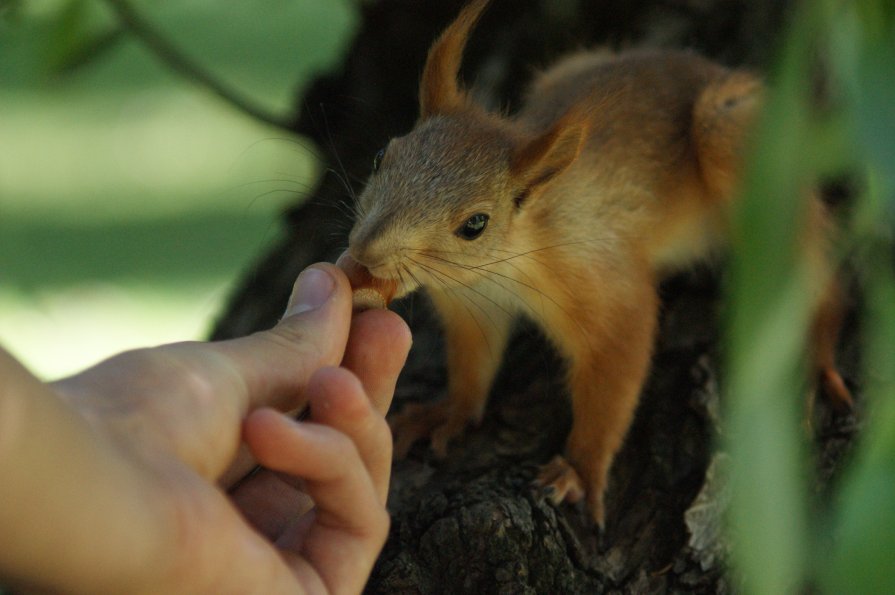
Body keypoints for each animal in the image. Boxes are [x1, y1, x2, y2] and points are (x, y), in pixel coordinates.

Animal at [334, 1, 848, 532]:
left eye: (475, 224)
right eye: (381, 156)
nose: (366, 251)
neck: (505, 266)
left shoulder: (603, 280)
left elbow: (615, 368)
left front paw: (579, 469)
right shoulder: (472, 303)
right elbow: (474, 361)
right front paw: (448, 412)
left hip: (735, 145)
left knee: (816, 268)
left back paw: (817, 355)